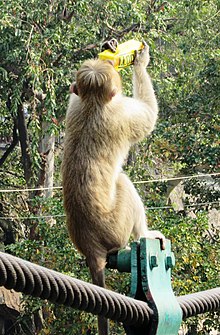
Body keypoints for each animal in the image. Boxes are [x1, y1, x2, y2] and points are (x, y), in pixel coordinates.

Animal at [61, 44, 165, 335]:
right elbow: (148, 115)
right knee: (124, 183)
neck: (92, 103)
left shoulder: (75, 105)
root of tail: (91, 247)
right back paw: (145, 233)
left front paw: (109, 48)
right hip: (115, 227)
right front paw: (139, 61)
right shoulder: (122, 113)